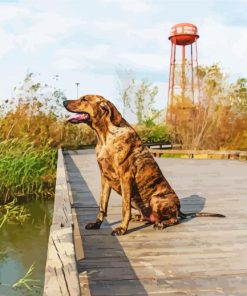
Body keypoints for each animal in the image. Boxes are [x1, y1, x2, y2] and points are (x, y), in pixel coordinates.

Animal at [63, 95, 224, 236]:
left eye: (84, 99)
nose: (64, 101)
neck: (105, 136)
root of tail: (179, 208)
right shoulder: (105, 178)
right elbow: (102, 205)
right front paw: (97, 224)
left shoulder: (125, 177)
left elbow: (124, 208)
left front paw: (122, 229)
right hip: (138, 201)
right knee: (150, 217)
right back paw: (139, 218)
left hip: (156, 199)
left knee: (174, 219)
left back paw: (161, 223)